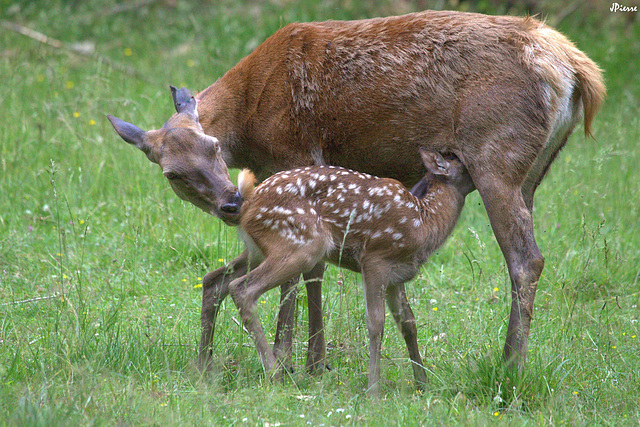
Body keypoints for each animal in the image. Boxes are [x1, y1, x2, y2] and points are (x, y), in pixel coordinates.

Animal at [230, 150, 476, 394]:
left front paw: (423, 384)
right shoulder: (376, 258)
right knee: (241, 288)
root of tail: (248, 203)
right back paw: (275, 373)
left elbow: (408, 323)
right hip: (301, 244)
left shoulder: (396, 276)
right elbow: (376, 323)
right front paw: (374, 389)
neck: (424, 223)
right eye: (462, 163)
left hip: (260, 250)